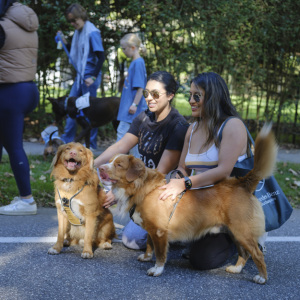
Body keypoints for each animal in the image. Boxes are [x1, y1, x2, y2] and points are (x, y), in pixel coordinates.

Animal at [99, 123, 276, 284]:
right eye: (110, 161)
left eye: (119, 165)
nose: (100, 168)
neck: (142, 189)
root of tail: (241, 183)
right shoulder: (152, 229)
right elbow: (150, 245)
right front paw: (147, 257)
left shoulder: (159, 231)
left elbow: (160, 254)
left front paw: (157, 269)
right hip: (233, 232)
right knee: (244, 253)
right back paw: (236, 268)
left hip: (242, 231)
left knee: (257, 254)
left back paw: (262, 277)